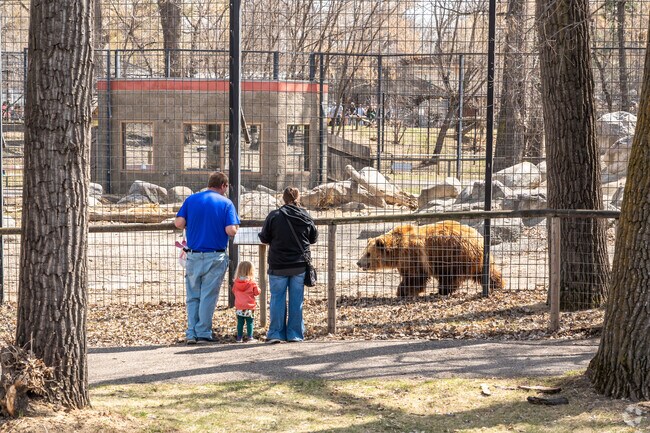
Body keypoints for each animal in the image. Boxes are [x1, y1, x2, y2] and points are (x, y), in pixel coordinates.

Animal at [356, 220, 505, 297]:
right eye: (364, 251)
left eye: (368, 254)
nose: (358, 262)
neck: (396, 252)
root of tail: (478, 238)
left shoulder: (412, 256)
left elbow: (414, 277)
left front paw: (402, 291)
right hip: (477, 259)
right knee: (488, 271)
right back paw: (497, 284)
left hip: (453, 256)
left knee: (449, 276)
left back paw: (442, 291)